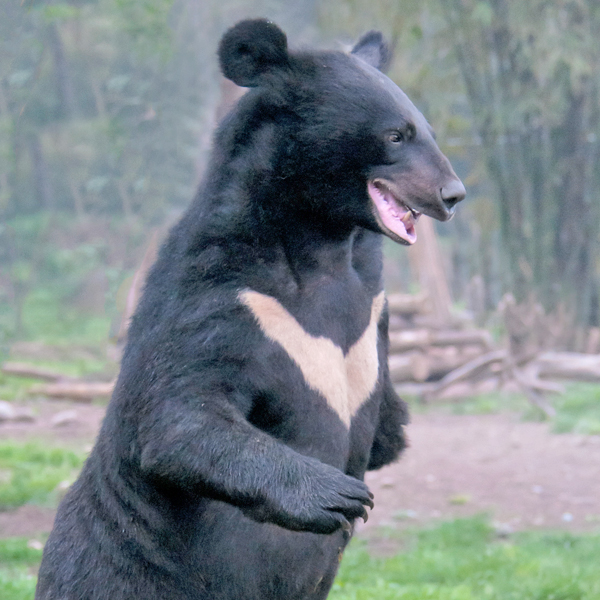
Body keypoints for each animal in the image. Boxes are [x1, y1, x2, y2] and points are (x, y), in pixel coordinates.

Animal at [35, 17, 466, 600]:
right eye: (396, 135)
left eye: (429, 132)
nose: (452, 194)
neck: (322, 243)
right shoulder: (226, 298)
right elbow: (178, 413)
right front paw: (338, 495)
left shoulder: (371, 297)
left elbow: (385, 430)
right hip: (115, 576)